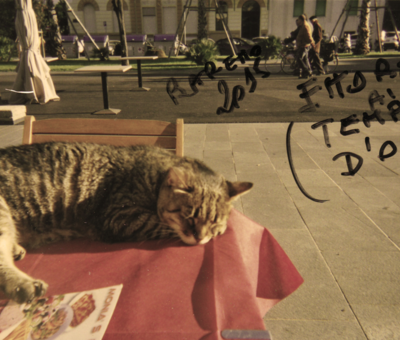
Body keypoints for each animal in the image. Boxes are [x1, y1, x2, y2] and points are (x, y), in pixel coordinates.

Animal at [0, 142, 252, 304]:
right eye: (189, 216)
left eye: (213, 221)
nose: (200, 237)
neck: (154, 177)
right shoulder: (118, 217)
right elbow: (160, 224)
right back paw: (25, 286)